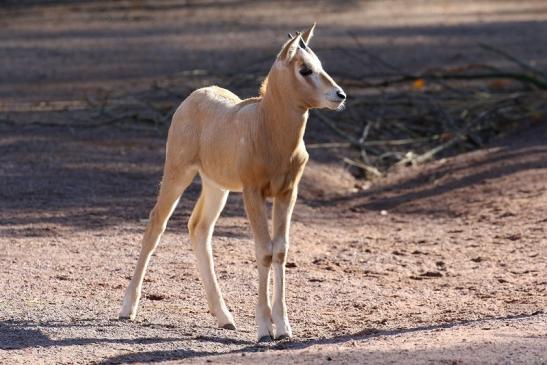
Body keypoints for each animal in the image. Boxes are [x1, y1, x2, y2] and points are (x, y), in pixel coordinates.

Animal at [120, 24, 346, 340]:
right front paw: (264, 328)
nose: (339, 95)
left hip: (217, 187)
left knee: (199, 228)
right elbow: (264, 251)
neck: (267, 128)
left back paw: (225, 317)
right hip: (178, 171)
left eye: (320, 64)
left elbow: (280, 250)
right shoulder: (253, 192)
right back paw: (127, 308)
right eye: (304, 69)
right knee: (156, 224)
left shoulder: (287, 192)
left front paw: (284, 328)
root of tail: (194, 96)